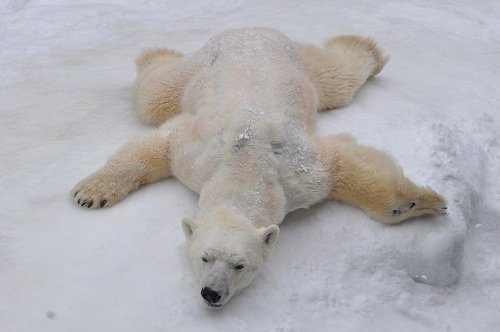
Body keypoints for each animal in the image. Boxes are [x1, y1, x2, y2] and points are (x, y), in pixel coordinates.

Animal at [71, 27, 450, 308]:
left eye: (240, 265)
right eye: (204, 257)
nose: (212, 293)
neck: (245, 166)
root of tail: (253, 30)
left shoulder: (298, 174)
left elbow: (344, 163)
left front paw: (423, 203)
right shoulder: (196, 155)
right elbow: (155, 145)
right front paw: (90, 194)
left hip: (297, 65)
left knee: (337, 80)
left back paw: (367, 49)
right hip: (203, 65)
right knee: (154, 95)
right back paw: (155, 55)